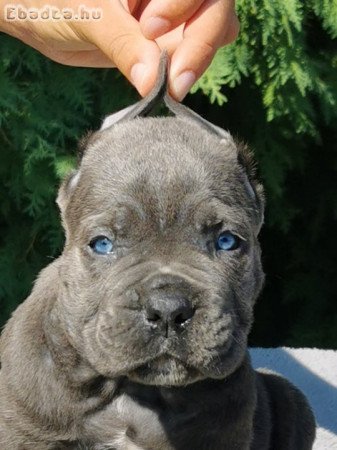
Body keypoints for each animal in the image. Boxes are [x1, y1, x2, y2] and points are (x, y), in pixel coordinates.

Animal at [0, 54, 316, 448]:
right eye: (102, 244)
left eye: (227, 241)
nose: (168, 309)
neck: (133, 393)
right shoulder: (26, 431)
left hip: (291, 398)